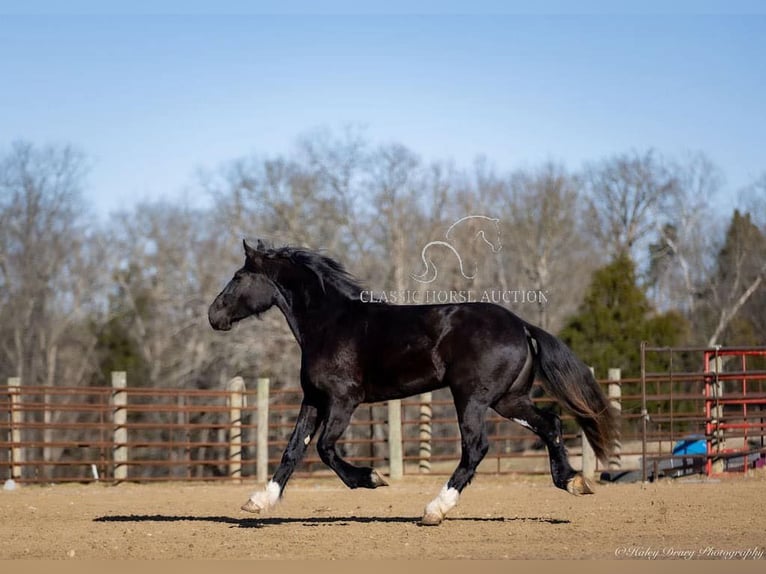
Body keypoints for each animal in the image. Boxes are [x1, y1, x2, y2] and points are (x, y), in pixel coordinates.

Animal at [208, 241, 616, 528]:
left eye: (238, 277)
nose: (214, 316)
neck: (329, 325)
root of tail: (522, 325)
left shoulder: (343, 401)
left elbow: (324, 449)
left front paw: (372, 478)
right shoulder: (314, 399)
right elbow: (293, 450)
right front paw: (259, 501)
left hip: (472, 398)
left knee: (477, 447)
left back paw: (435, 509)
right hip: (509, 400)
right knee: (550, 424)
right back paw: (573, 481)